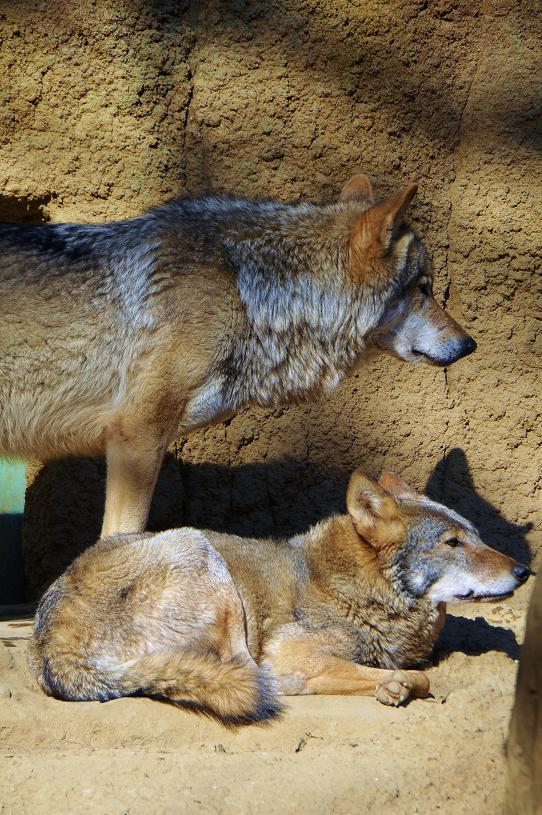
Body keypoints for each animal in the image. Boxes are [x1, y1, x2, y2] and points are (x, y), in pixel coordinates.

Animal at [27, 472, 528, 728]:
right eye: (452, 543)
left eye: (478, 537)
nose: (525, 571)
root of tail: (54, 651)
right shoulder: (291, 656)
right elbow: (410, 676)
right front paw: (395, 683)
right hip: (202, 556)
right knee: (247, 677)